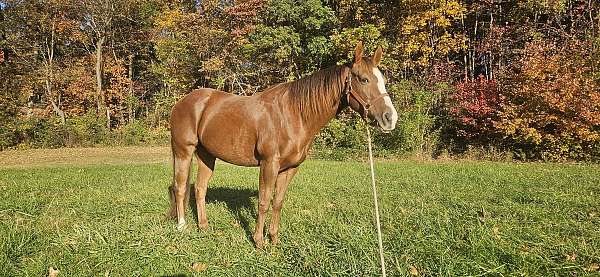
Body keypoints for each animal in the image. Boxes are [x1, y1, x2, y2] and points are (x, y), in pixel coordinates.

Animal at [169, 42, 398, 247]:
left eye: (383, 80)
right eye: (364, 79)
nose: (390, 118)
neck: (293, 114)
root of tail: (181, 102)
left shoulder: (290, 168)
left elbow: (277, 202)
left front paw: (274, 240)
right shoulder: (269, 164)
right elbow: (263, 201)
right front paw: (259, 242)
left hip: (207, 155)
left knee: (200, 189)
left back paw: (204, 227)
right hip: (183, 152)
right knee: (180, 187)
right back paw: (182, 226)